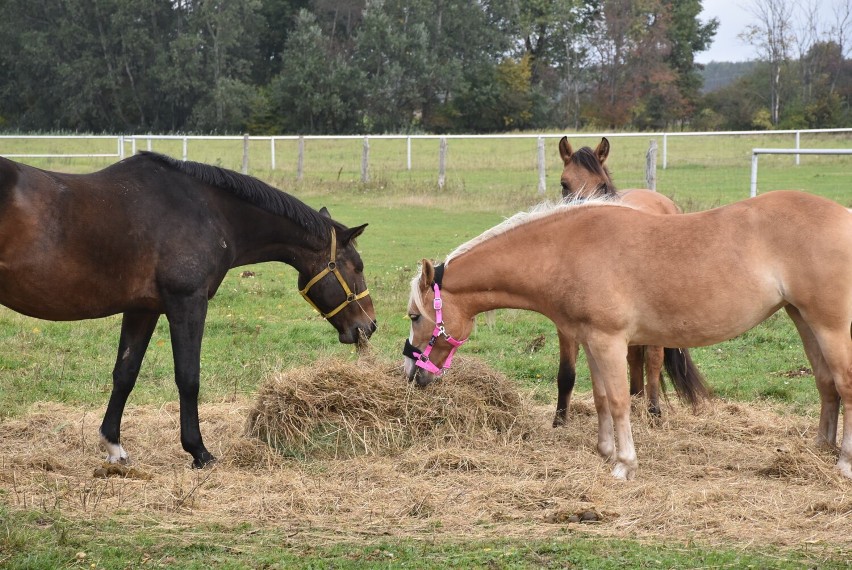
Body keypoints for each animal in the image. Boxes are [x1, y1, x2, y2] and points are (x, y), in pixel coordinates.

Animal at [0, 152, 376, 466]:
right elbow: (188, 377)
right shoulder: (188, 302)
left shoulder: (143, 309)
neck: (207, 210)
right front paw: (199, 451)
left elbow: (125, 374)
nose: (369, 325)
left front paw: (114, 446)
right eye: (356, 266)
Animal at [556, 135, 688, 422]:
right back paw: (636, 400)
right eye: (564, 184)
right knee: (635, 358)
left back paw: (653, 411)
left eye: (601, 184)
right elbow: (566, 374)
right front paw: (558, 421)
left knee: (653, 359)